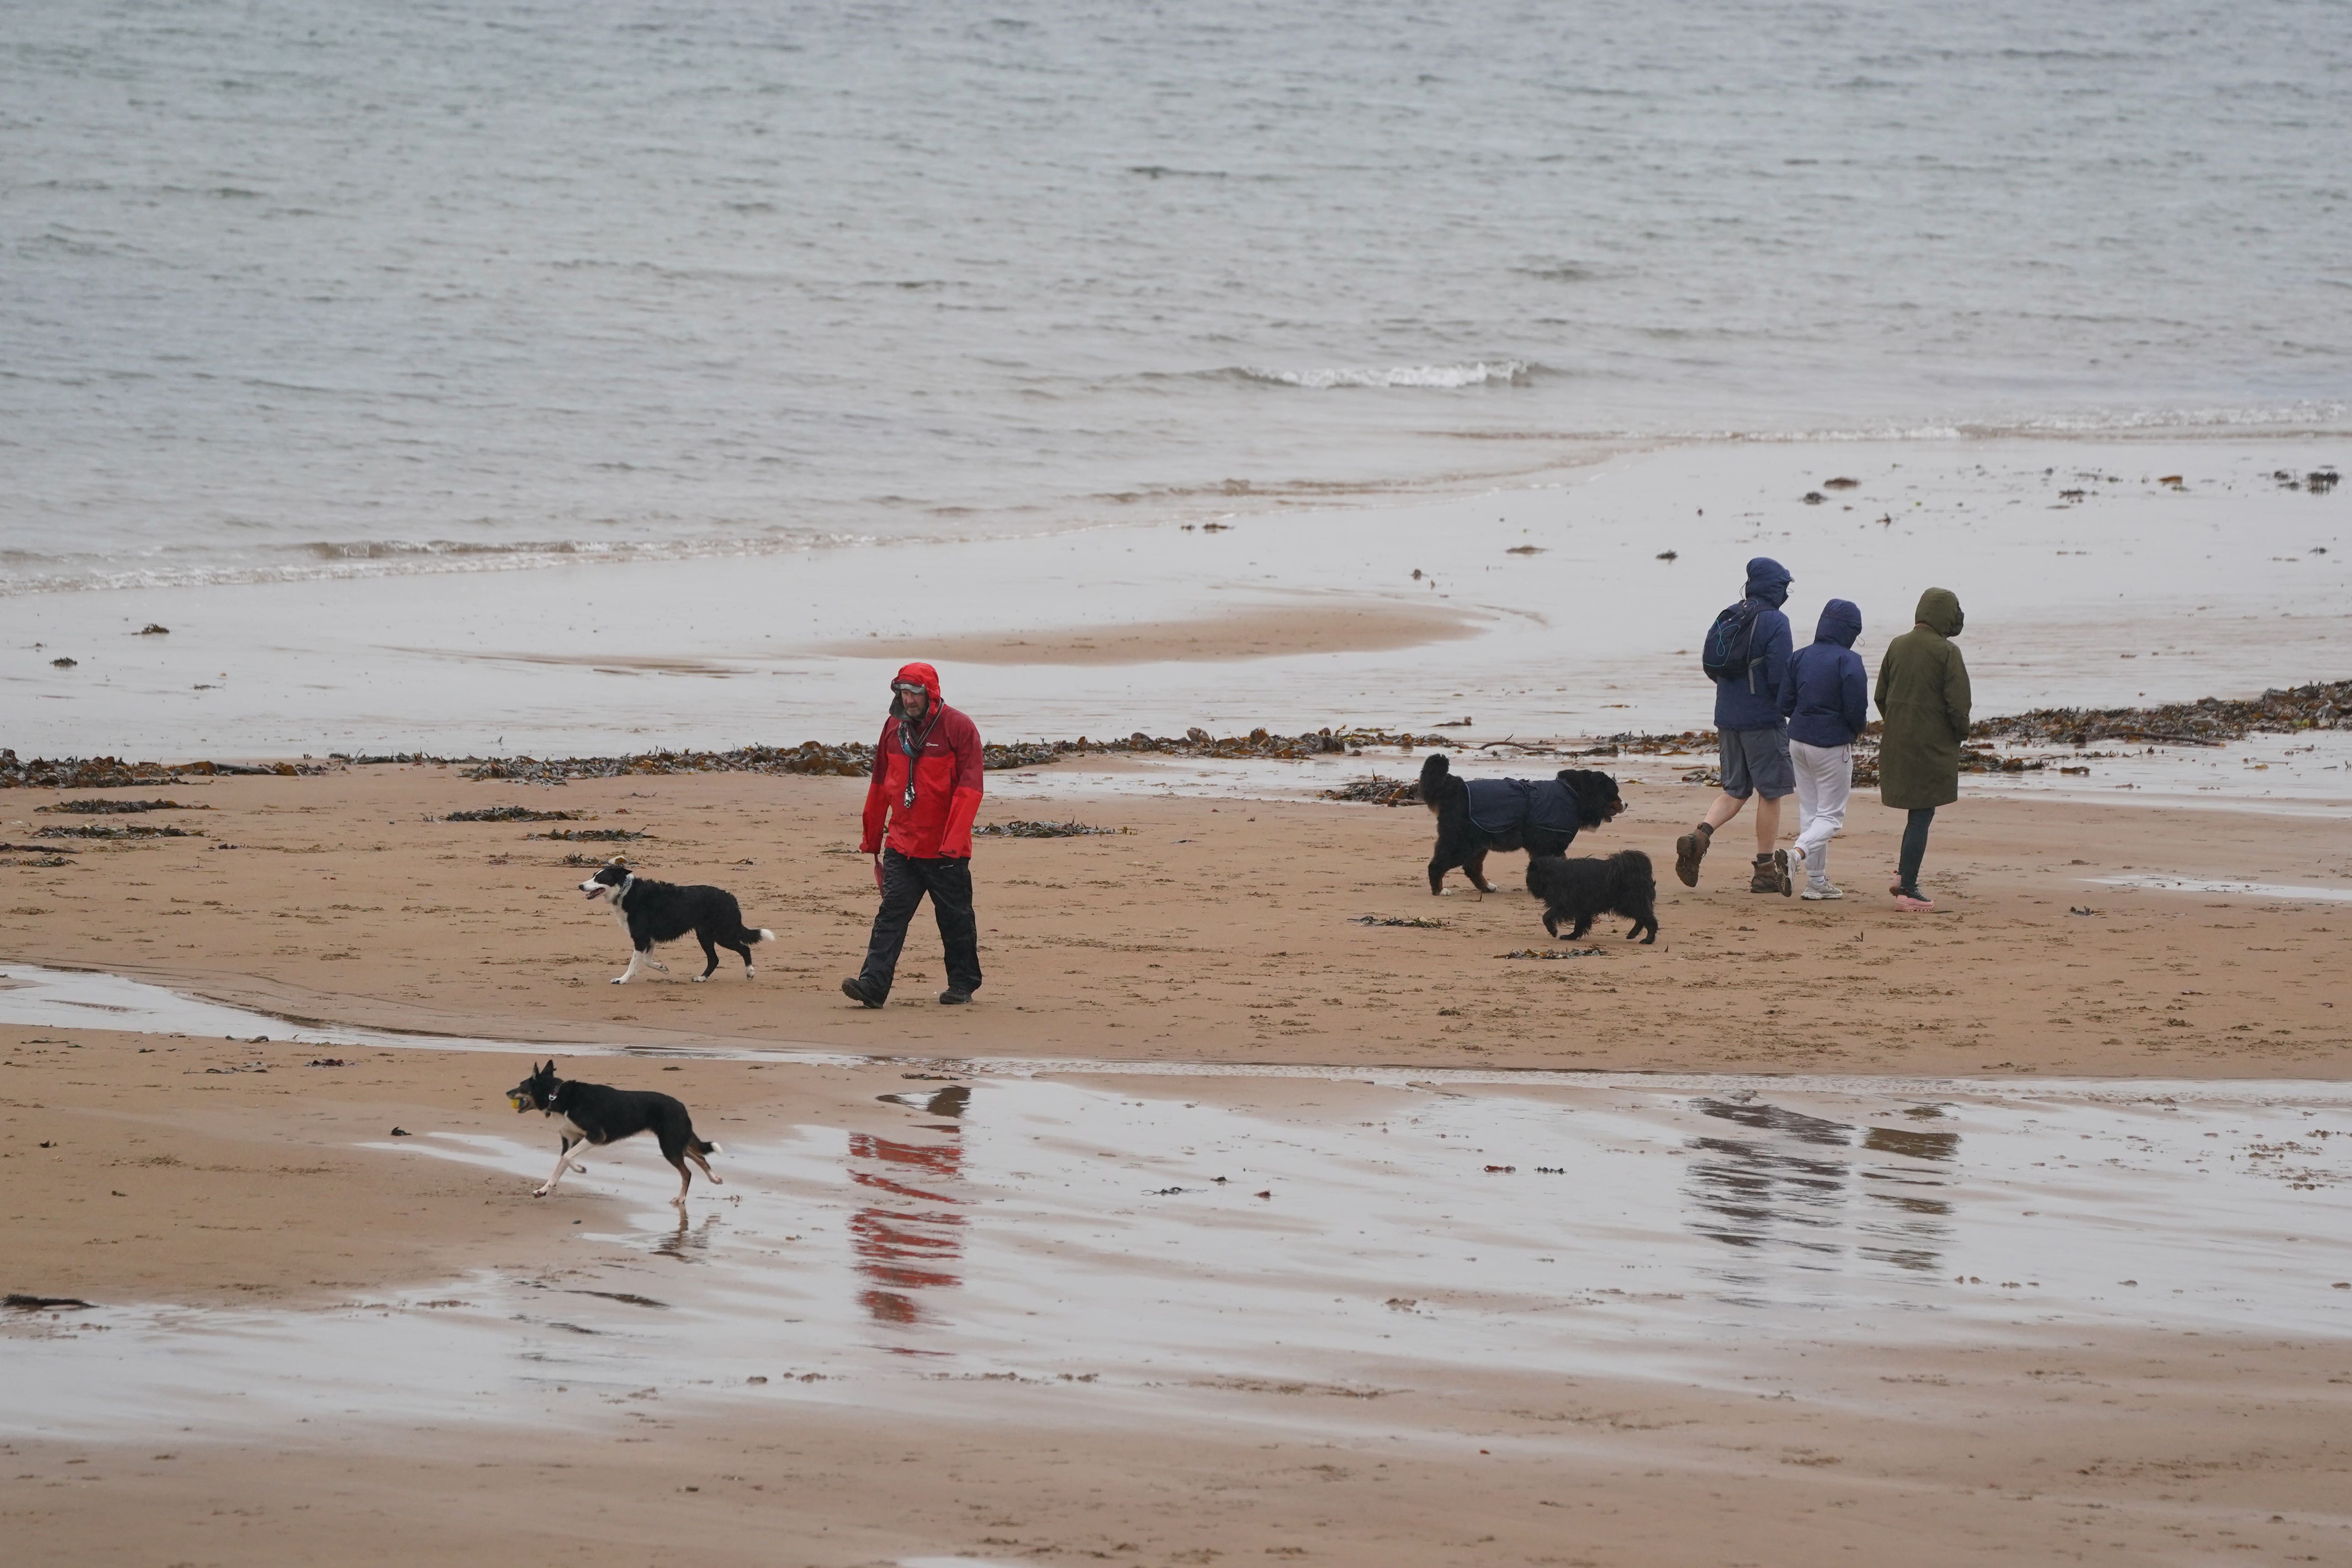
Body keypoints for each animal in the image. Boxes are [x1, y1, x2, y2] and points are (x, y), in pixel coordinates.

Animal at [513, 1062, 724, 1213]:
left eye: (521, 1086)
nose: (508, 1093)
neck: (556, 1096)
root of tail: (682, 1107)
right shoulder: (572, 1140)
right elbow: (560, 1166)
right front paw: (543, 1190)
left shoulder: (596, 1136)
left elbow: (567, 1158)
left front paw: (580, 1169)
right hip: (675, 1142)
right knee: (700, 1157)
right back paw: (715, 1179)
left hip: (670, 1145)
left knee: (687, 1172)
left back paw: (681, 1198)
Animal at [578, 860, 771, 982]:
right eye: (593, 875)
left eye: (599, 879)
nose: (580, 886)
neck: (626, 892)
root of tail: (731, 898)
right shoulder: (649, 938)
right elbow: (647, 960)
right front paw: (662, 968)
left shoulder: (641, 937)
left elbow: (634, 963)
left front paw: (622, 980)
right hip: (705, 935)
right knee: (714, 959)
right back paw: (702, 978)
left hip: (722, 934)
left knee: (744, 949)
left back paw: (750, 973)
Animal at [1420, 752, 1627, 893]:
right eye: (1615, 794)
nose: (1626, 803)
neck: (1574, 795)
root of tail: (1457, 787)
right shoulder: (1550, 846)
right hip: (1460, 841)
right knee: (1437, 865)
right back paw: (1440, 890)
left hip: (1479, 843)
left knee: (1472, 868)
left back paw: (1487, 887)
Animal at [1524, 860, 1656, 945]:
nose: (1528, 883)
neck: (1554, 874)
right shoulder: (1581, 909)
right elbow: (1579, 925)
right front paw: (1571, 936)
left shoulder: (1565, 904)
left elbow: (1547, 916)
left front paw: (1554, 931)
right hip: (1630, 905)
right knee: (1642, 919)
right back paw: (1633, 934)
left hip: (1631, 904)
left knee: (1650, 921)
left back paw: (1648, 940)